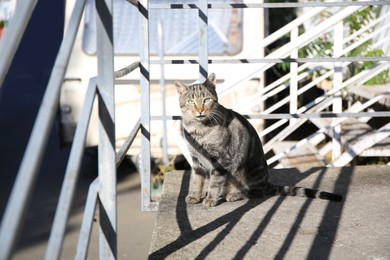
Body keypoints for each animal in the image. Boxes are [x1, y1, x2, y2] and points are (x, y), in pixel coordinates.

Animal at [175, 73, 342, 207]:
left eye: (207, 99)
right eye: (191, 102)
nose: (200, 110)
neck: (198, 130)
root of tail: (266, 183)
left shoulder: (220, 159)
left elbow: (215, 183)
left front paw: (210, 199)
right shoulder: (196, 161)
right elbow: (196, 181)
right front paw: (195, 196)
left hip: (246, 172)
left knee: (253, 192)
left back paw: (234, 194)